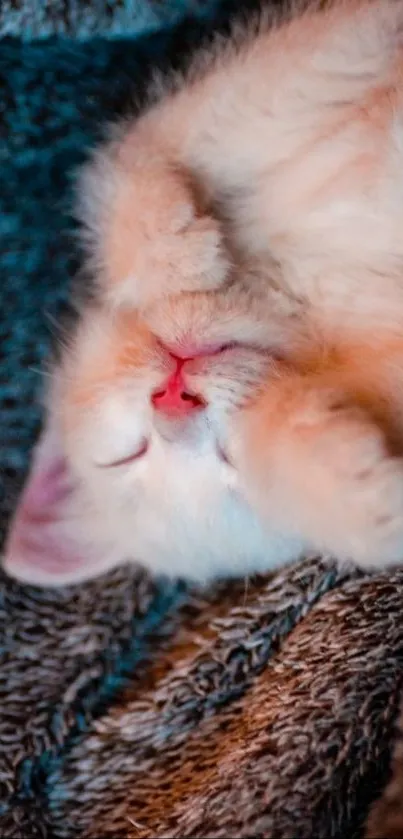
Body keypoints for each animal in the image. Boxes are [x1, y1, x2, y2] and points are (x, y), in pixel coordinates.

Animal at [3, 0, 403, 588]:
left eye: (120, 456)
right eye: (229, 461)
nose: (171, 393)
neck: (294, 303)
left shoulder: (253, 89)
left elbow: (144, 148)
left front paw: (172, 258)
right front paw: (355, 489)